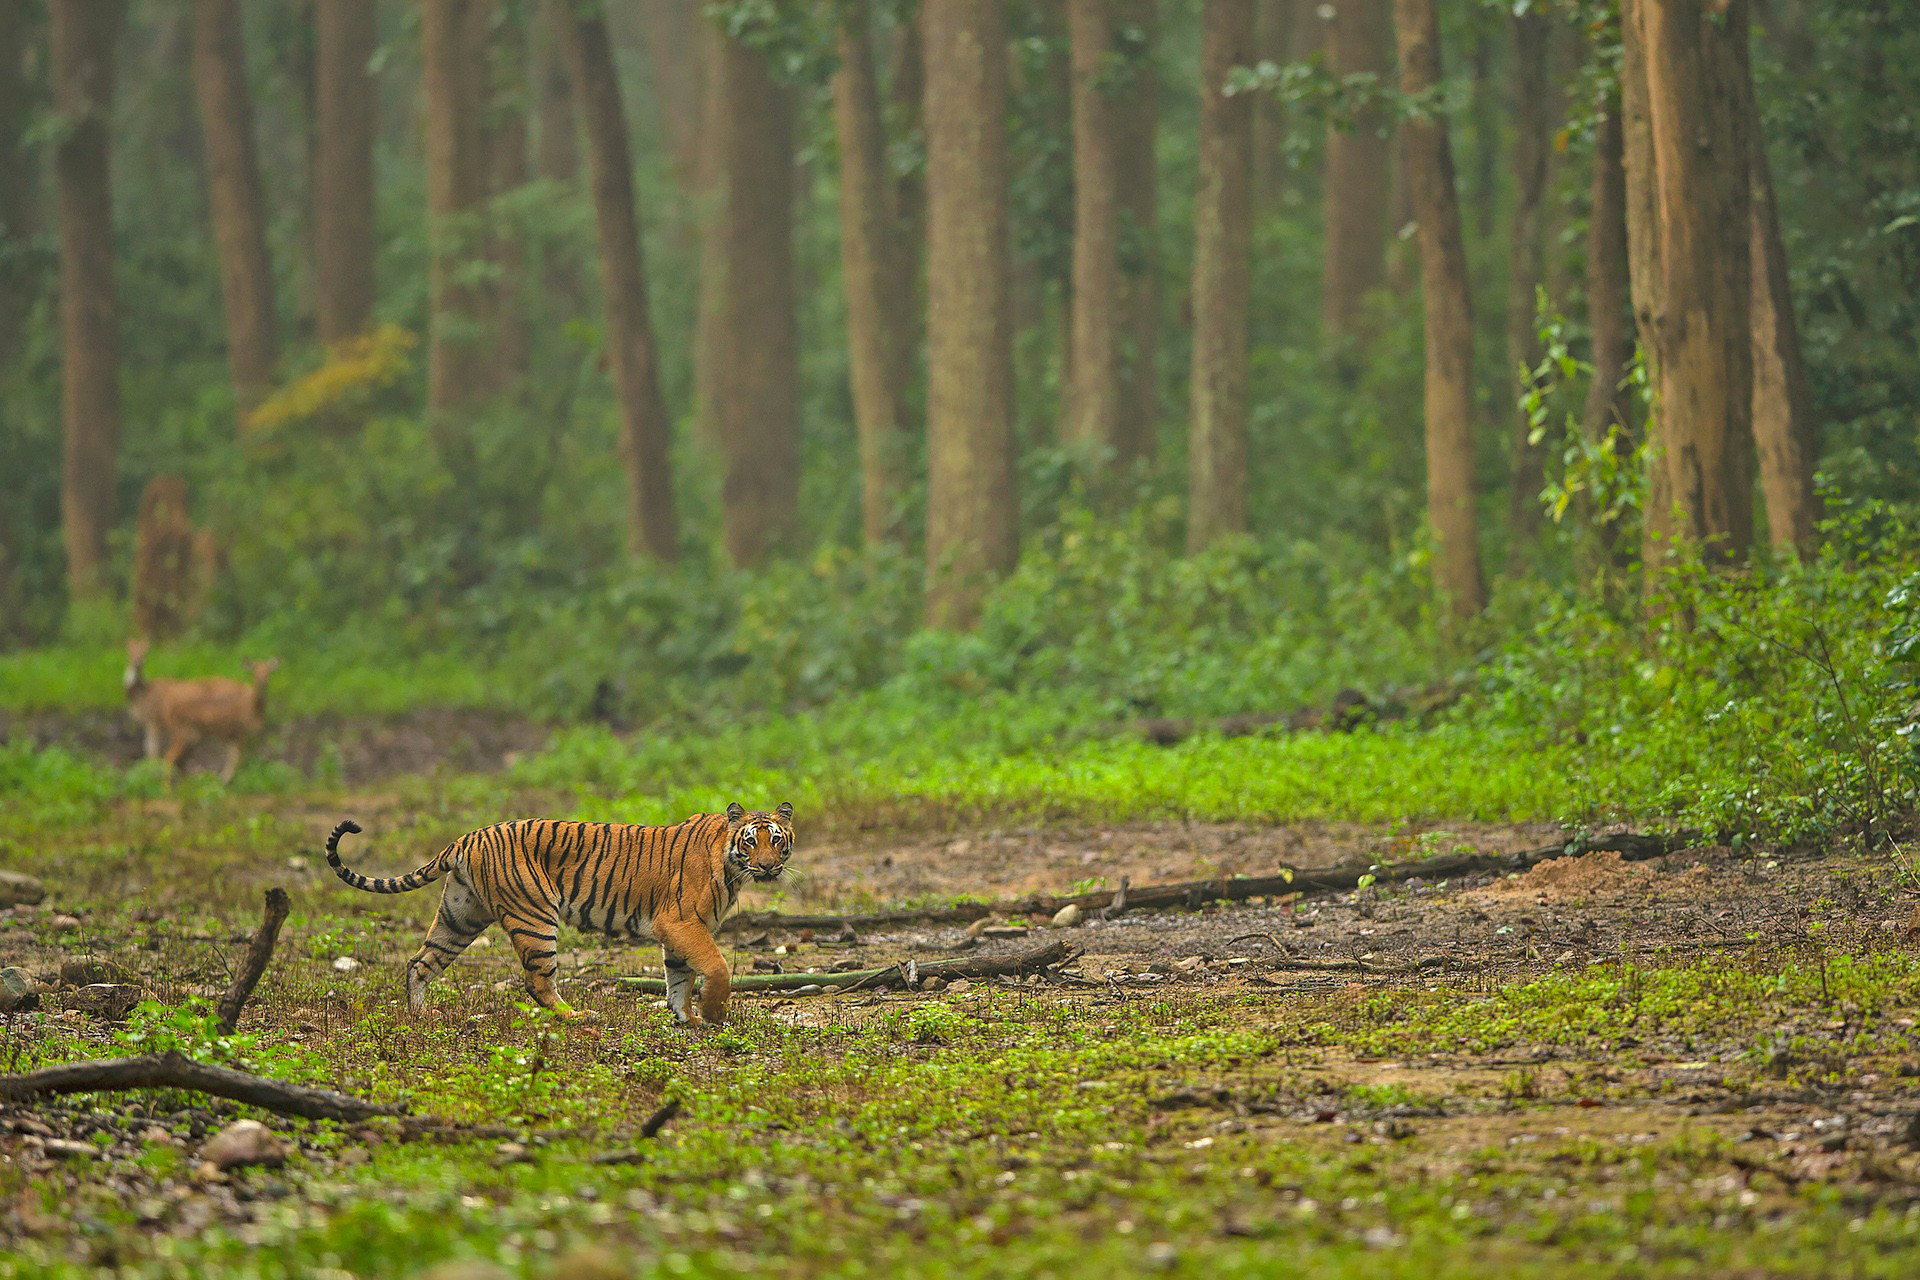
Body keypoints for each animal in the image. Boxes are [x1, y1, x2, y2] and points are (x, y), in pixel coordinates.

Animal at [323, 802, 794, 1027]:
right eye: (751, 841)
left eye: (777, 840)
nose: (769, 866)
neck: (733, 865)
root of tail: (468, 836)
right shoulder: (680, 923)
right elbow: (715, 967)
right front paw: (713, 1015)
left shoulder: (679, 933)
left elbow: (679, 979)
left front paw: (688, 1020)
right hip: (535, 919)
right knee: (536, 982)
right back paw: (577, 1016)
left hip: (460, 915)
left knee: (419, 962)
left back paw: (421, 1015)